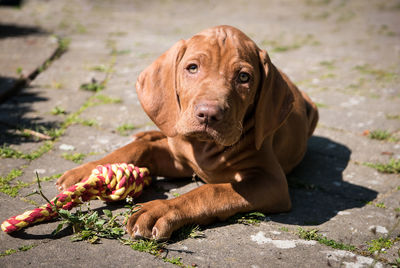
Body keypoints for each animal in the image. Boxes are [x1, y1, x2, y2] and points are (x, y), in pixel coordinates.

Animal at [56, 25, 318, 241]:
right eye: (192, 68)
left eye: (244, 77)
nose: (209, 114)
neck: (205, 148)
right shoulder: (180, 159)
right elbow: (141, 148)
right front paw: (87, 173)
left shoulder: (271, 181)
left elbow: (211, 191)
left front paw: (160, 210)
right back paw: (146, 133)